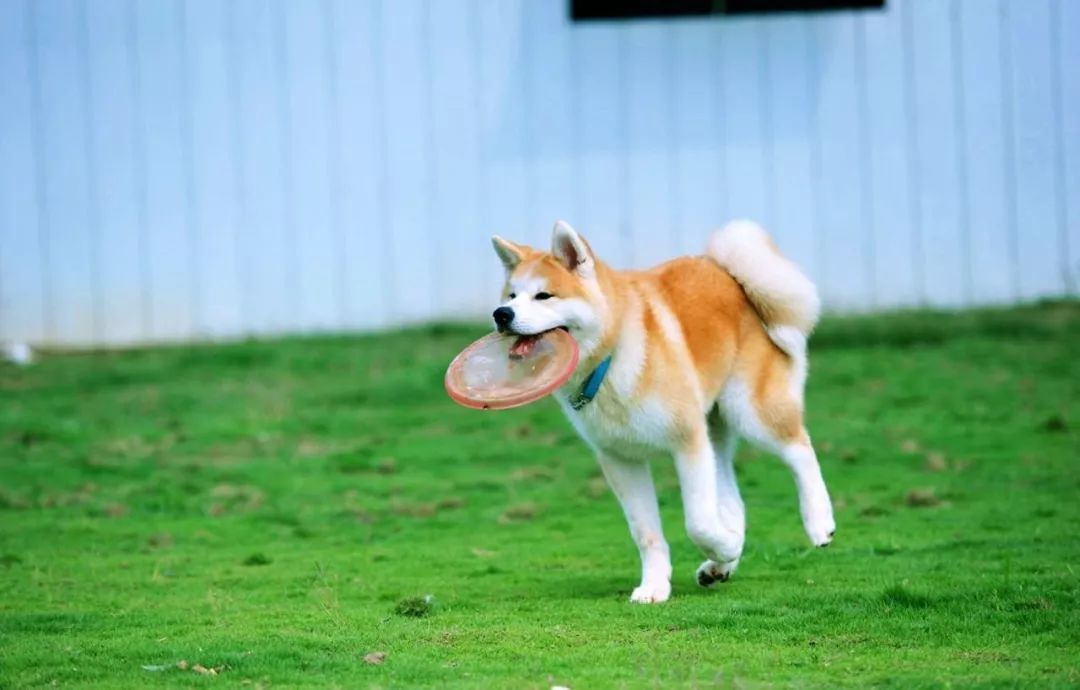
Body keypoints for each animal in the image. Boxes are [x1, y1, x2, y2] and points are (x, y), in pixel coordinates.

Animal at [490, 221, 833, 604]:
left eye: (544, 296)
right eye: (511, 296)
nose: (501, 314)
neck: (611, 360)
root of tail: (728, 274)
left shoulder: (687, 442)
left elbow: (698, 522)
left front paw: (725, 546)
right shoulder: (621, 460)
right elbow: (646, 533)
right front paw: (656, 585)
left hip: (750, 413)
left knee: (800, 450)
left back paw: (817, 522)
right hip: (715, 431)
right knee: (734, 501)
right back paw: (720, 566)